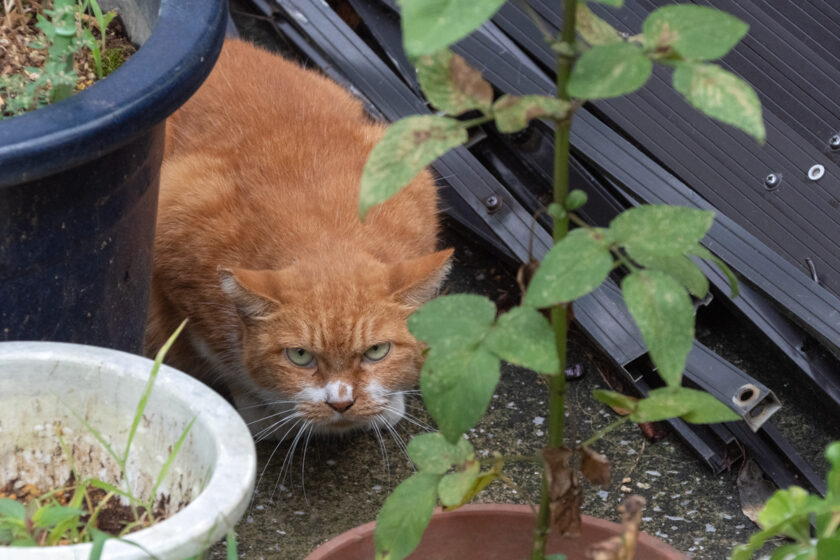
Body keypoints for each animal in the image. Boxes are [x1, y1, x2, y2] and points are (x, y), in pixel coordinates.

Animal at [149, 40, 452, 442]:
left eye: (376, 351)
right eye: (300, 356)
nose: (342, 403)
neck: (326, 235)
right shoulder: (178, 232)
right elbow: (228, 364)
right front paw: (268, 415)